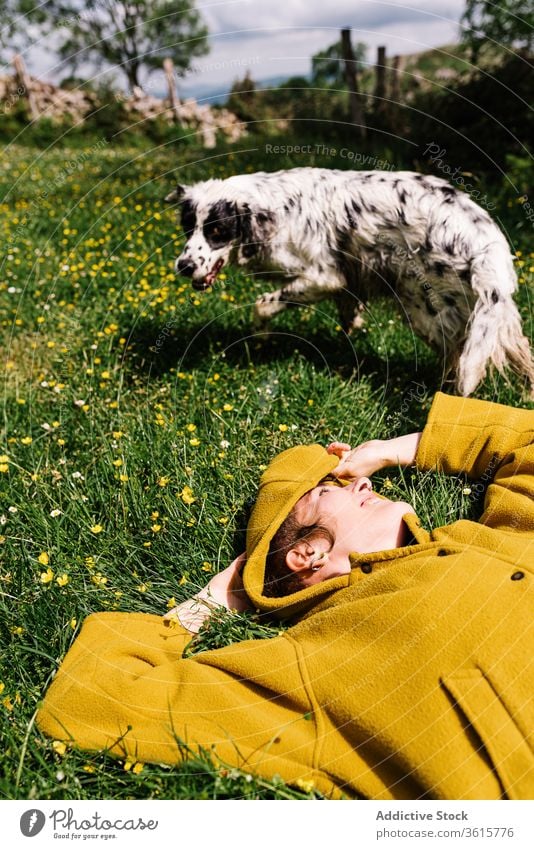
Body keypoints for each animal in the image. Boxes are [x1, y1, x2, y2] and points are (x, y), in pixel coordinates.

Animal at [165, 167, 532, 396]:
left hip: (425, 309)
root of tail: (486, 242)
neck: (272, 209)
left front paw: (261, 337)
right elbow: (347, 308)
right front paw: (352, 325)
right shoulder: (347, 280)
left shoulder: (323, 277)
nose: (183, 266)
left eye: (217, 231)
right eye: (187, 227)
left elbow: (263, 306)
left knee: (456, 358)